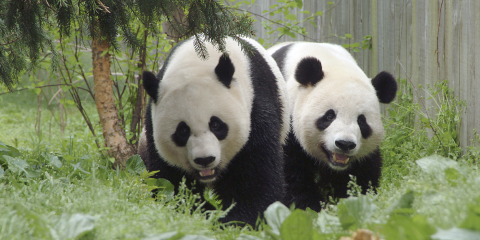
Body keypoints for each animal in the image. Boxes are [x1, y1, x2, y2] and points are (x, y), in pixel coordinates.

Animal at [139, 36, 288, 226]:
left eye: (216, 125)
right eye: (182, 131)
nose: (205, 160)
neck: (199, 59)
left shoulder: (256, 106)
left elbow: (255, 177)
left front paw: (237, 220)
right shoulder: (152, 123)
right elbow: (170, 179)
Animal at [266, 42, 398, 211]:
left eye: (361, 121)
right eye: (329, 116)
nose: (345, 144)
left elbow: (362, 174)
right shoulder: (287, 122)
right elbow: (290, 173)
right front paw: (310, 207)